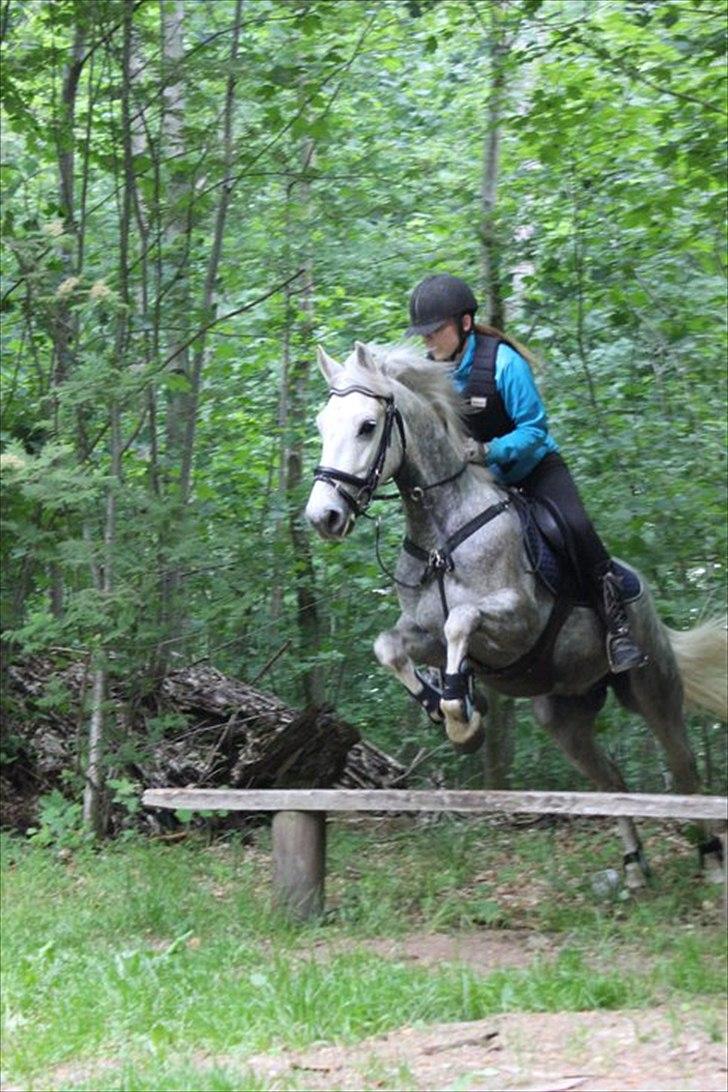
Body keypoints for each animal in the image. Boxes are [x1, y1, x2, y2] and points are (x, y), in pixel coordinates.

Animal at [307, 340, 728, 886]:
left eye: (367, 425)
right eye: (322, 424)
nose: (324, 517)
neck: (443, 533)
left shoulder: (519, 621)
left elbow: (461, 619)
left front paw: (460, 714)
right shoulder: (424, 635)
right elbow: (390, 646)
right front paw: (444, 705)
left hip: (651, 690)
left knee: (684, 768)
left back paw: (711, 860)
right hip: (564, 716)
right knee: (610, 779)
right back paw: (635, 868)